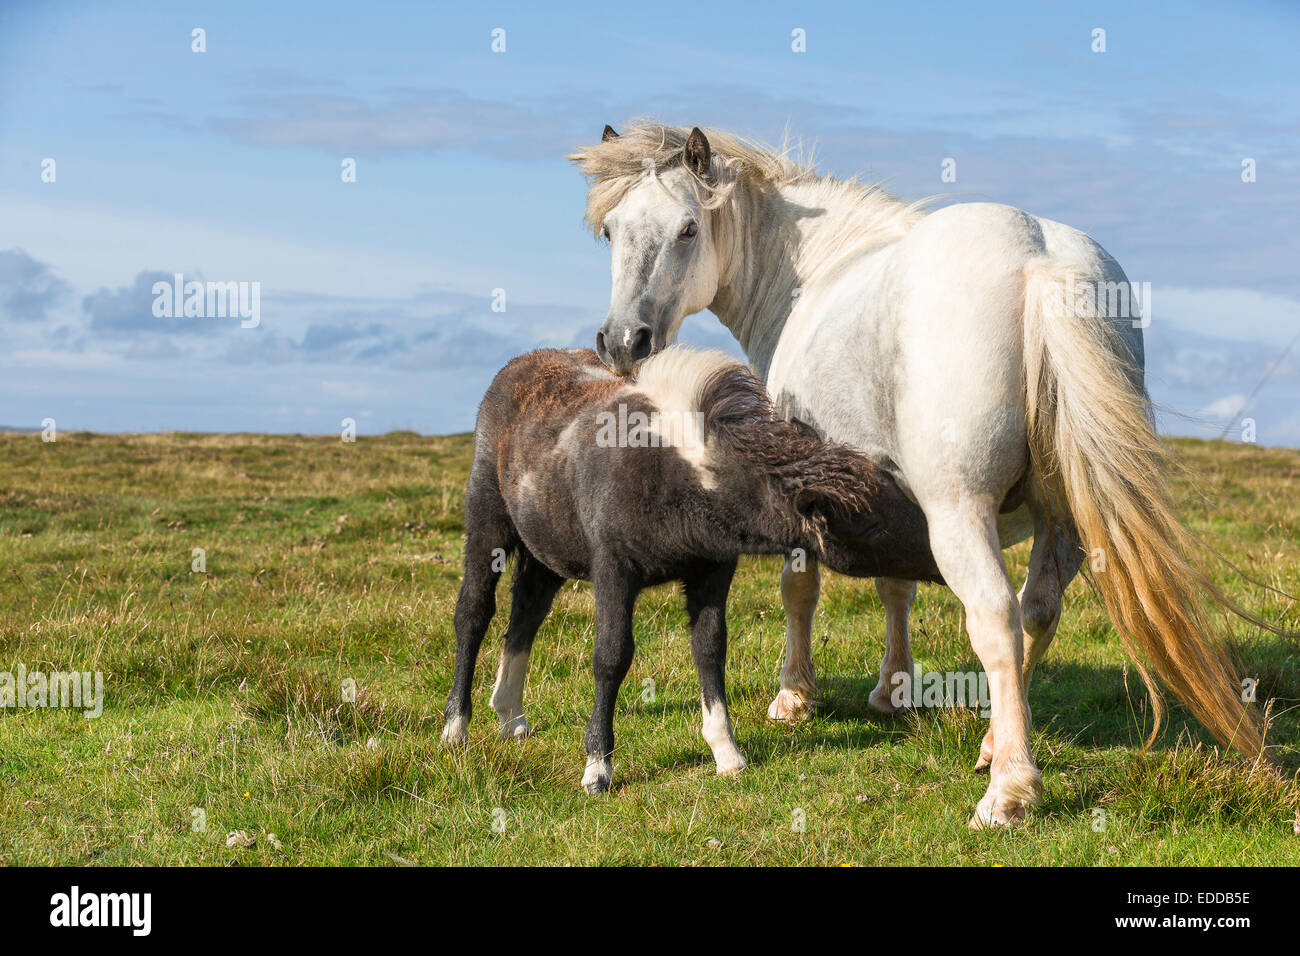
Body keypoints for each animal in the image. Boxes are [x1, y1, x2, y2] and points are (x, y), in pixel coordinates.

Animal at [572, 121, 1268, 832]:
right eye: (612, 231)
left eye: (688, 228)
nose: (622, 341)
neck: (815, 273)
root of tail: (1040, 264)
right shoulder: (886, 495)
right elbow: (895, 589)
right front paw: (893, 690)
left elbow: (801, 591)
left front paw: (795, 696)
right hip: (1065, 519)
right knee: (1037, 610)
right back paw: (994, 743)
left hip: (960, 514)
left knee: (996, 615)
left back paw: (1010, 789)